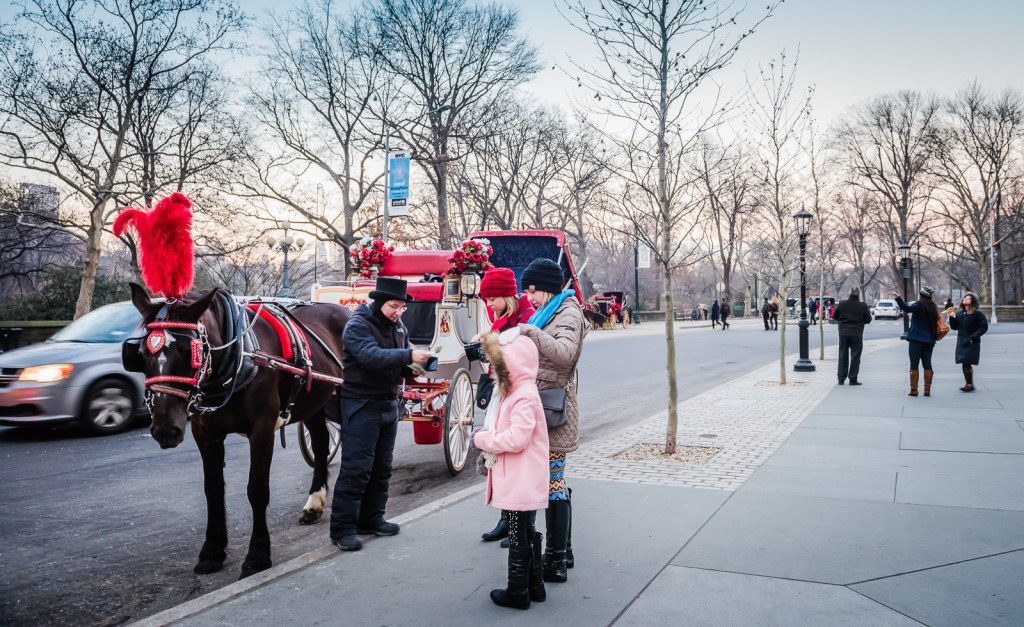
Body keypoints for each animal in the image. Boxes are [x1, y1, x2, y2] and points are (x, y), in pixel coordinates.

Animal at [126, 282, 352, 577]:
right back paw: (315, 501)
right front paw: (212, 551)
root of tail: (346, 311)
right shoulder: (205, 434)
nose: (165, 430)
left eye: (190, 351)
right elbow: (213, 490)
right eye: (141, 354)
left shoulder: (262, 430)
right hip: (315, 401)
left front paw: (258, 555)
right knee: (323, 441)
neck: (238, 358)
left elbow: (257, 489)